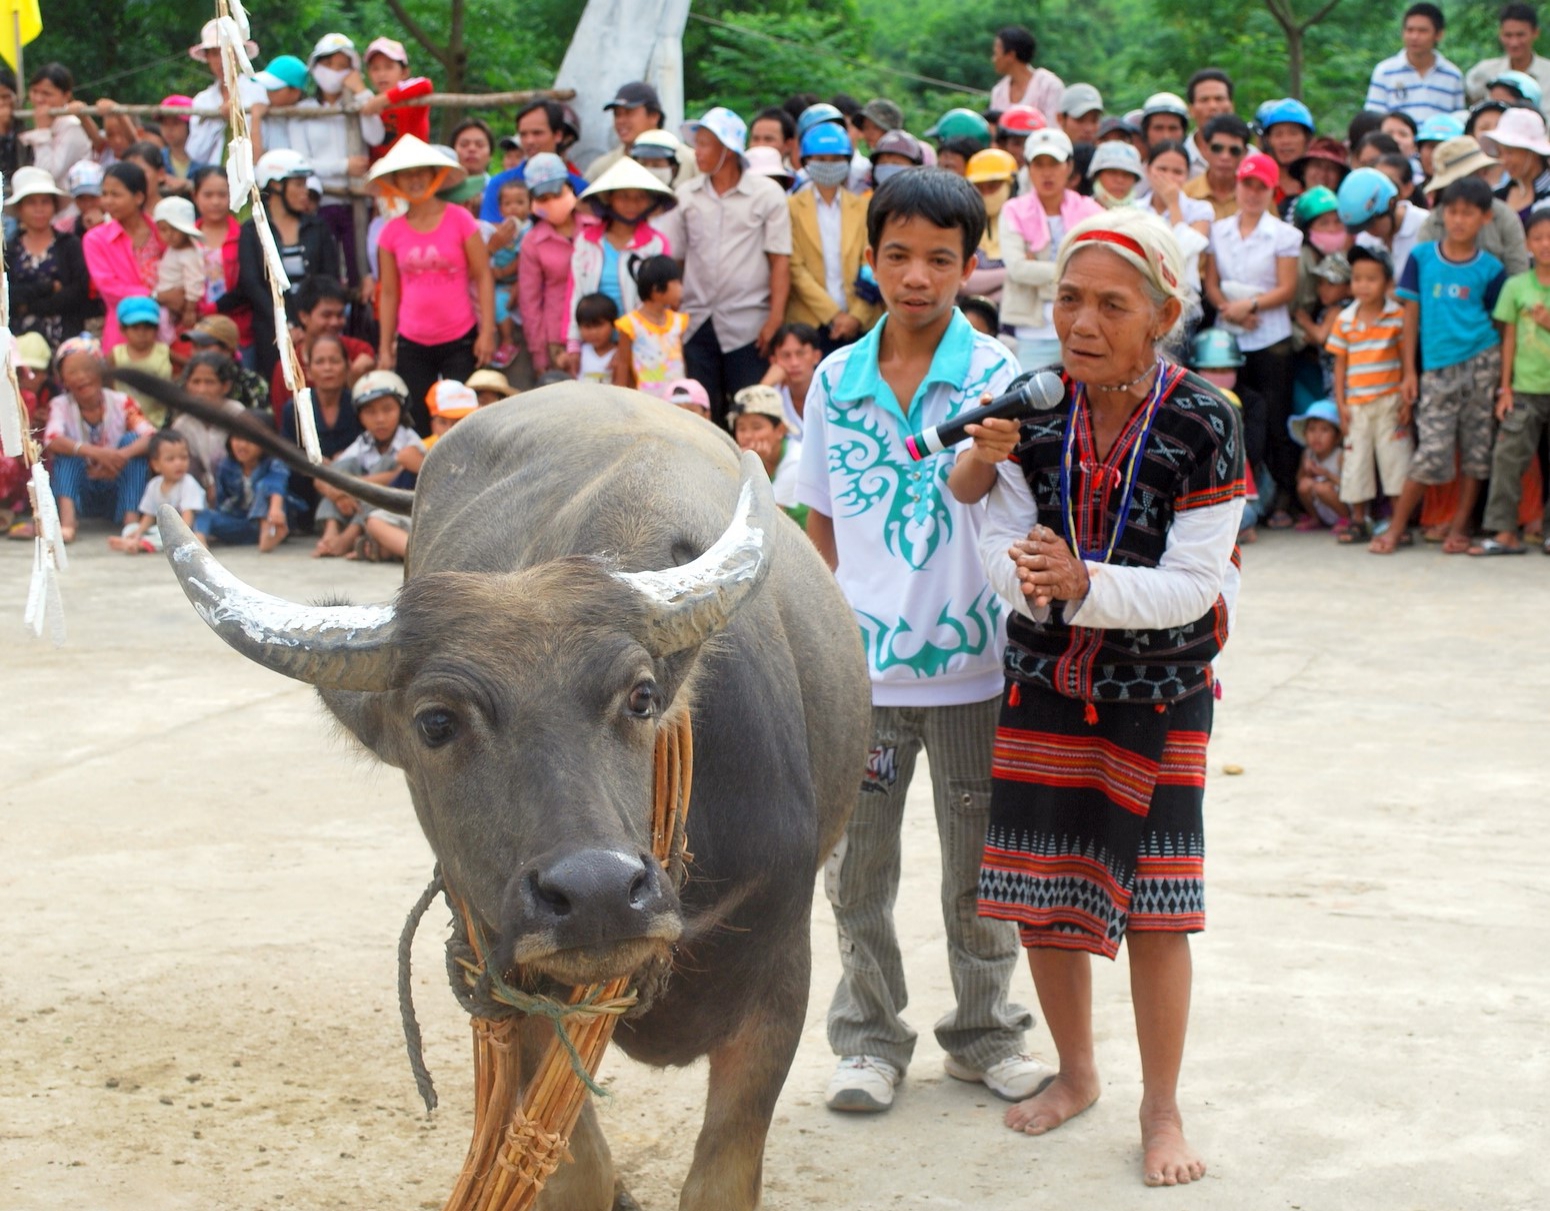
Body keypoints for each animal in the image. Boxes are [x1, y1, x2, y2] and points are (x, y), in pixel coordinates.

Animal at [136, 378, 874, 1209]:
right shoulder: (508, 971)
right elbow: (574, 1164)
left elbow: (721, 1175)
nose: (597, 892)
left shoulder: (781, 974)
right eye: (435, 721)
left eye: (642, 696)